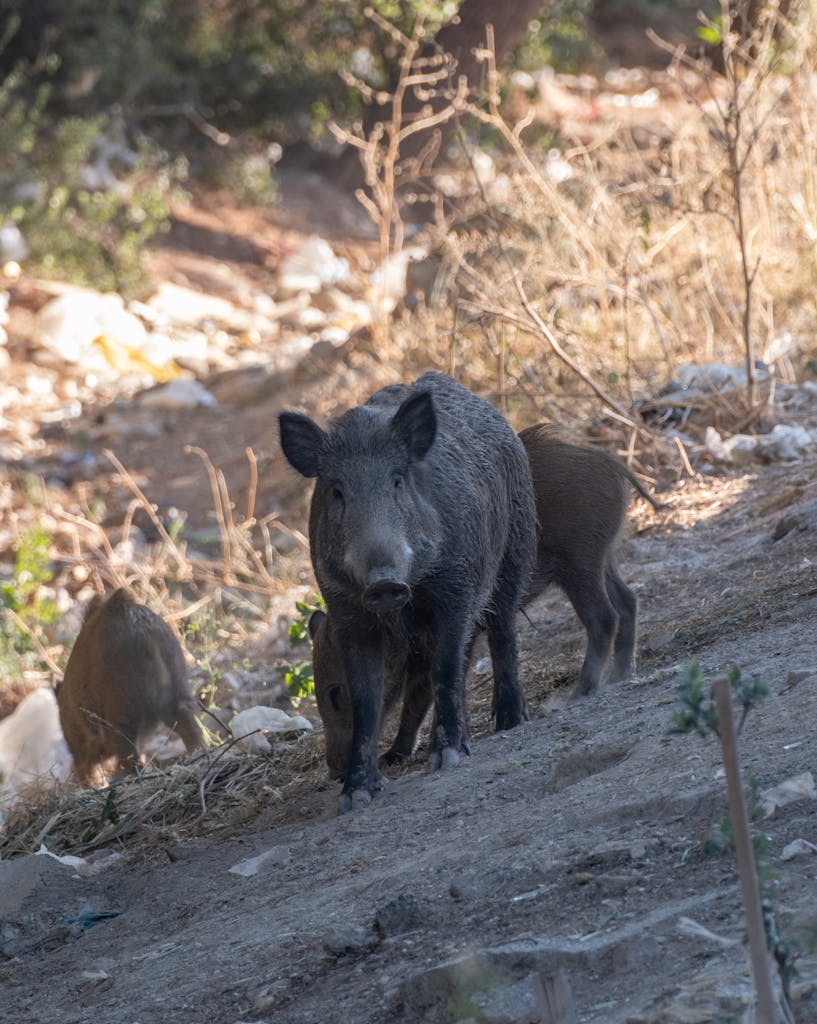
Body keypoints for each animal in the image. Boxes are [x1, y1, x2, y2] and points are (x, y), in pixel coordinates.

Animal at [278, 371, 537, 812]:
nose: (384, 583)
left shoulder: (456, 588)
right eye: (336, 491)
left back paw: (508, 722)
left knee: (503, 633)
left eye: (397, 481)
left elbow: (446, 668)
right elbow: (368, 701)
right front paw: (356, 795)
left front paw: (446, 758)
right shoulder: (348, 612)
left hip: (514, 550)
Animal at [309, 422, 662, 779]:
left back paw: (579, 694)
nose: (335, 771)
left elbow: (424, 694)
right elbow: (436, 688)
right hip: (603, 558)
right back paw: (619, 676)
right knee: (628, 602)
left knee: (604, 617)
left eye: (335, 693)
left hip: (580, 563)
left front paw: (404, 754)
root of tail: (610, 465)